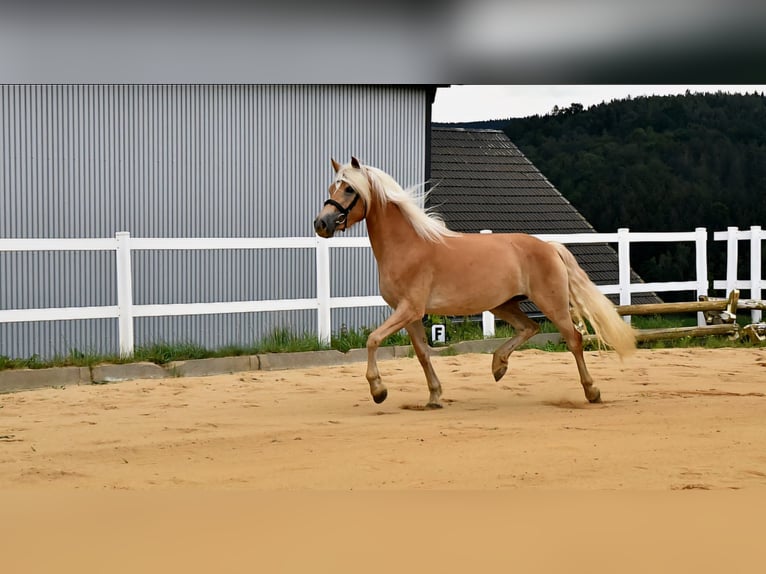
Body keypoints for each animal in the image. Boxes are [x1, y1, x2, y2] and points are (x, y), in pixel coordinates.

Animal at [316, 158, 640, 410]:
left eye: (349, 188)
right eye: (331, 188)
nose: (322, 224)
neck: (408, 246)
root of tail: (549, 247)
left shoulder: (410, 309)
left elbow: (373, 339)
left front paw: (379, 390)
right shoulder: (410, 314)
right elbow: (422, 353)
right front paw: (434, 397)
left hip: (552, 303)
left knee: (573, 339)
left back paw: (592, 391)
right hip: (504, 305)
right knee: (530, 328)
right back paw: (498, 366)